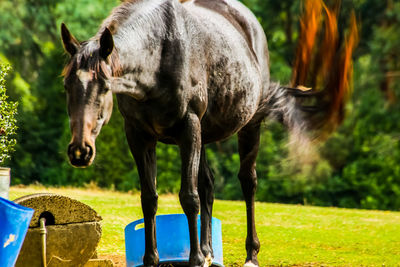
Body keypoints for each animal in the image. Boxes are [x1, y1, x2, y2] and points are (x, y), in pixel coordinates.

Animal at [61, 0, 358, 266]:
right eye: (66, 85)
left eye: (105, 86)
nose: (80, 151)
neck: (159, 57)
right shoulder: (139, 136)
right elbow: (150, 199)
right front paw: (153, 259)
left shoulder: (188, 128)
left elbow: (188, 197)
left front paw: (193, 259)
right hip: (203, 137)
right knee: (207, 185)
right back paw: (208, 252)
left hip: (248, 125)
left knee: (247, 182)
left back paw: (250, 255)